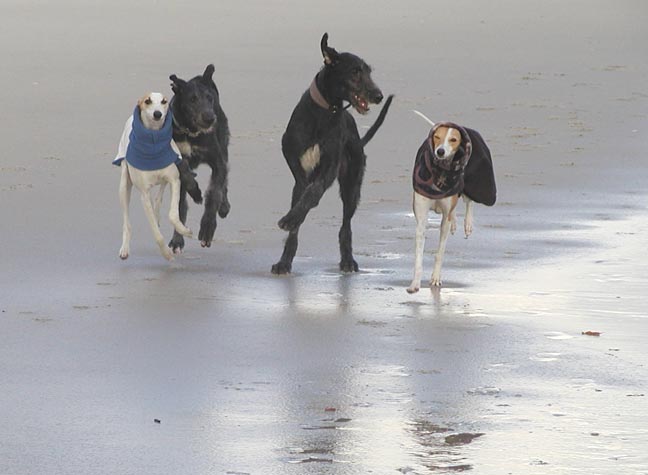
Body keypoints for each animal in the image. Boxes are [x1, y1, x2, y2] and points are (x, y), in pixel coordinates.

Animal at [114, 91, 200, 262]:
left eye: (164, 101)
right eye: (147, 101)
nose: (158, 114)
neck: (153, 144)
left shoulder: (174, 180)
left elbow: (173, 214)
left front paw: (185, 230)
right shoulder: (144, 194)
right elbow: (157, 234)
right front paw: (166, 253)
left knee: (158, 198)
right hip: (124, 186)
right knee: (127, 221)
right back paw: (125, 249)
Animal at [167, 67, 230, 255]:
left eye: (209, 98)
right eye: (192, 99)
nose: (210, 118)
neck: (191, 132)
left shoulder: (217, 161)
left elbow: (215, 191)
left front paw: (208, 227)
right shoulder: (174, 156)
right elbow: (183, 170)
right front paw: (194, 190)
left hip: (223, 142)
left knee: (224, 180)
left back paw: (224, 206)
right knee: (180, 206)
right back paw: (177, 239)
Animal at [270, 32, 392, 276]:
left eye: (369, 71)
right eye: (355, 72)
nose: (378, 96)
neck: (325, 111)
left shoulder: (330, 167)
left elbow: (313, 191)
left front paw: (294, 215)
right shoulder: (292, 157)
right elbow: (302, 192)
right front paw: (290, 227)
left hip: (352, 185)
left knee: (346, 226)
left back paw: (348, 260)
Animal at [404, 115, 496, 294]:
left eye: (453, 139)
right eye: (436, 137)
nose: (440, 151)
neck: (440, 174)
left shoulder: (445, 216)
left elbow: (440, 251)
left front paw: (436, 278)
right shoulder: (421, 217)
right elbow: (419, 254)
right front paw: (415, 284)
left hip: (469, 185)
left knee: (468, 202)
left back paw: (467, 224)